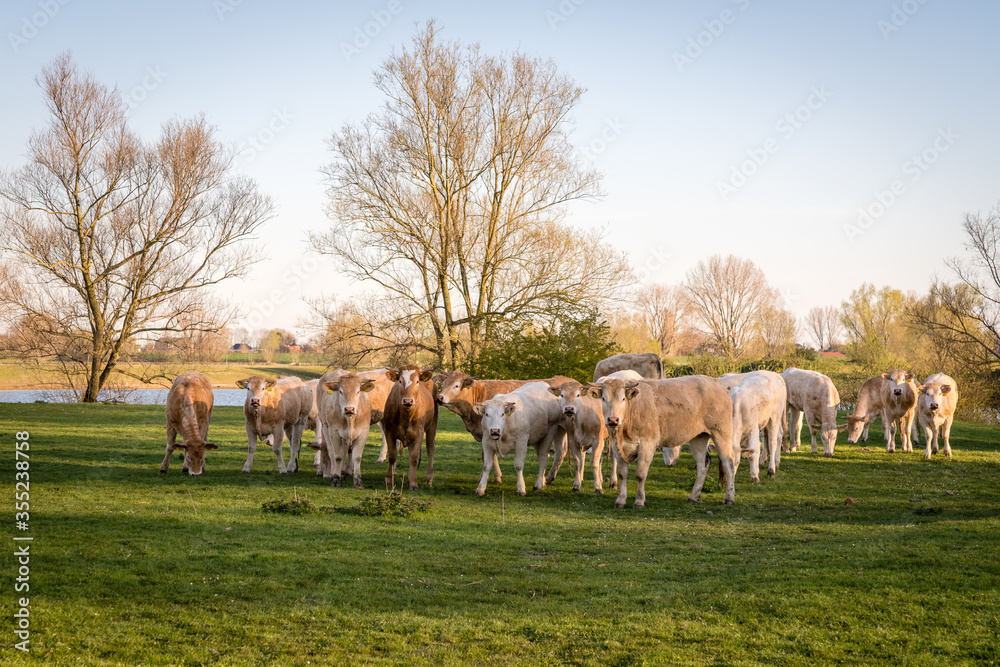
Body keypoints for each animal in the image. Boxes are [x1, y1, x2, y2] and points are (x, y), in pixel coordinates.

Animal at [584, 376, 736, 512]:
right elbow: (622, 474)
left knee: (729, 462)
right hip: (698, 437)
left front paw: (639, 501)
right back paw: (693, 496)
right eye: (604, 399)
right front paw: (620, 500)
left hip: (721, 433)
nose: (613, 419)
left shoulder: (647, 444)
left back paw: (729, 498)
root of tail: (716, 382)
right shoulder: (617, 449)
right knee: (702, 463)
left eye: (622, 399)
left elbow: (640, 474)